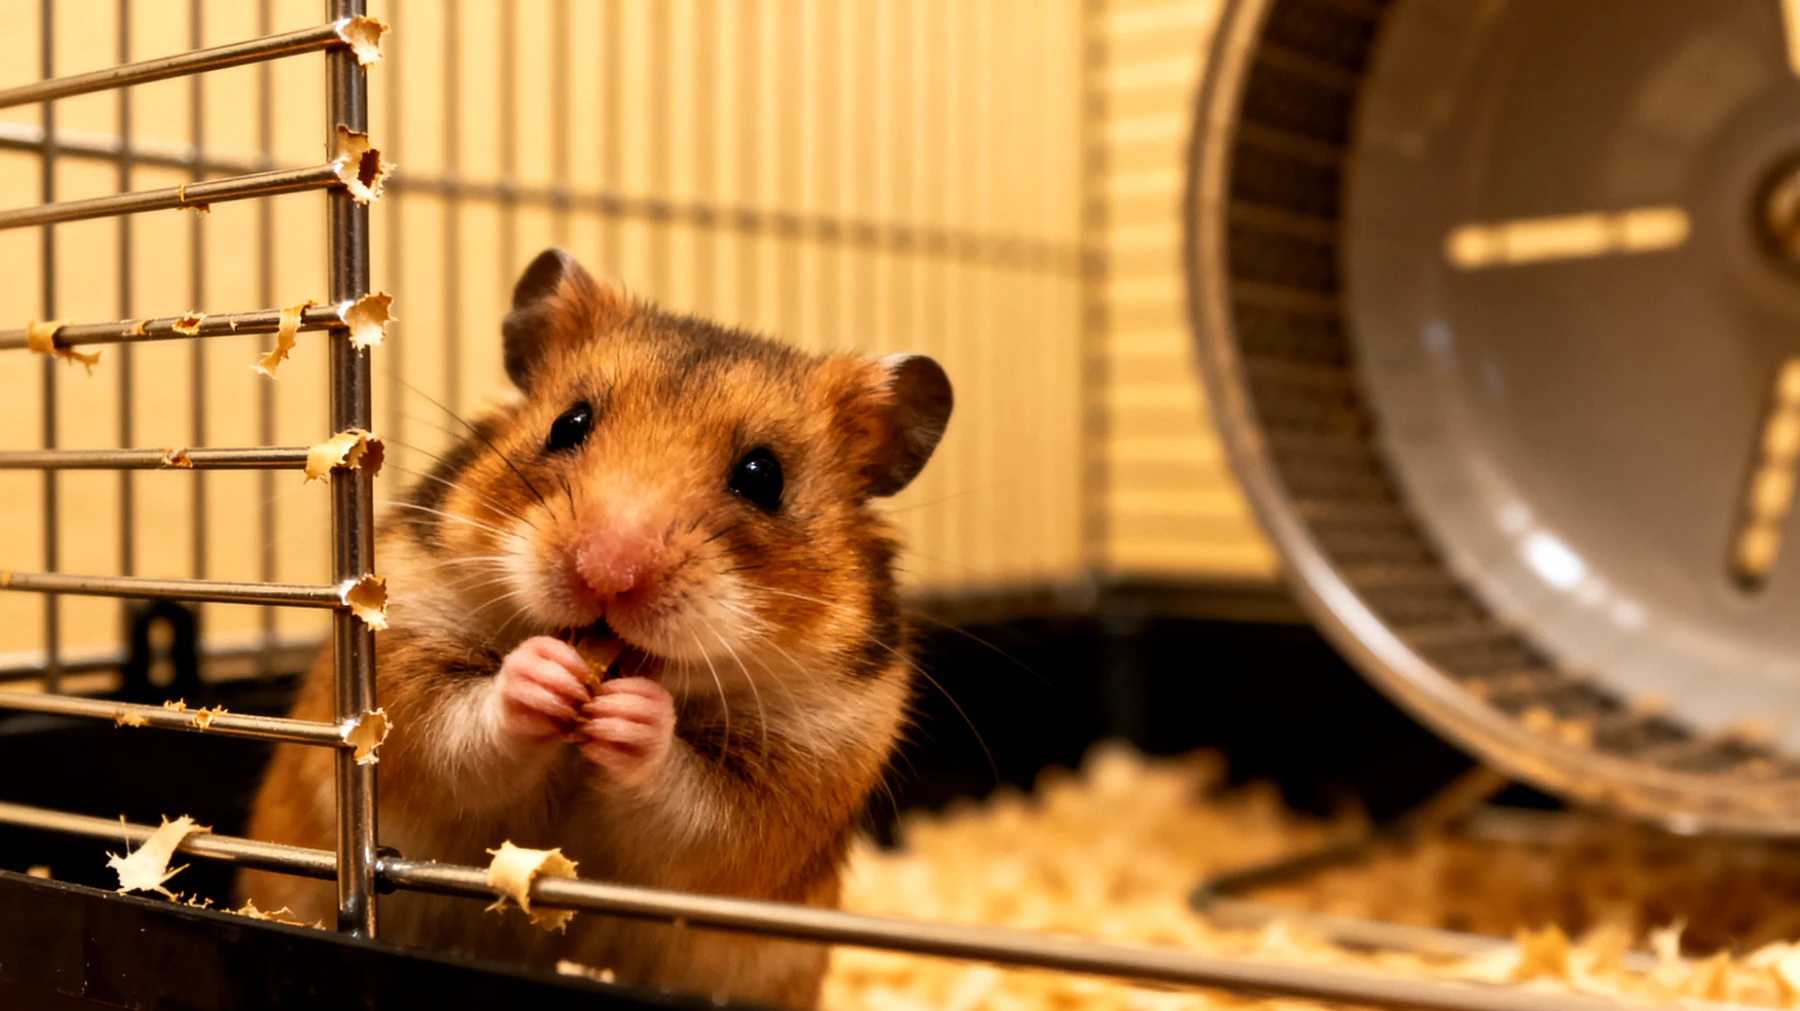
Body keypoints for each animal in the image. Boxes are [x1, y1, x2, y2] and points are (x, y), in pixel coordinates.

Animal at [240, 248, 952, 1009]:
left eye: (764, 476)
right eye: (569, 423)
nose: (606, 573)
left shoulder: (796, 772)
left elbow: (690, 800)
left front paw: (631, 712)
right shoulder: (404, 664)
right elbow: (460, 726)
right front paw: (544, 673)